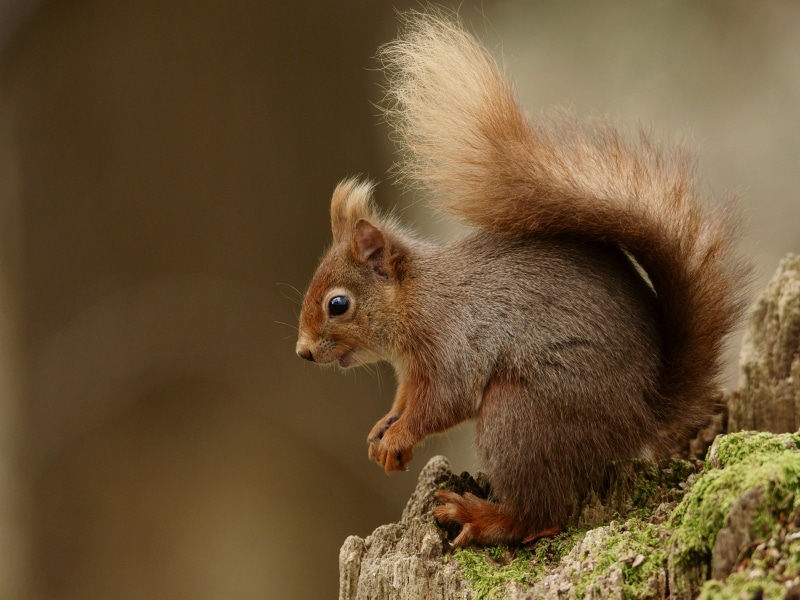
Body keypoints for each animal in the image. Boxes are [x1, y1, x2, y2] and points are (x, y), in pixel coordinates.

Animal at [295, 11, 749, 547]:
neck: (417, 299)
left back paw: (481, 516)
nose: (303, 352)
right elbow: (406, 400)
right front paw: (382, 431)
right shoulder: (411, 372)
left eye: (337, 304)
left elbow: (440, 403)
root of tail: (644, 413)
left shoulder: (449, 346)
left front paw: (401, 435)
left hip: (520, 416)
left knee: (543, 512)